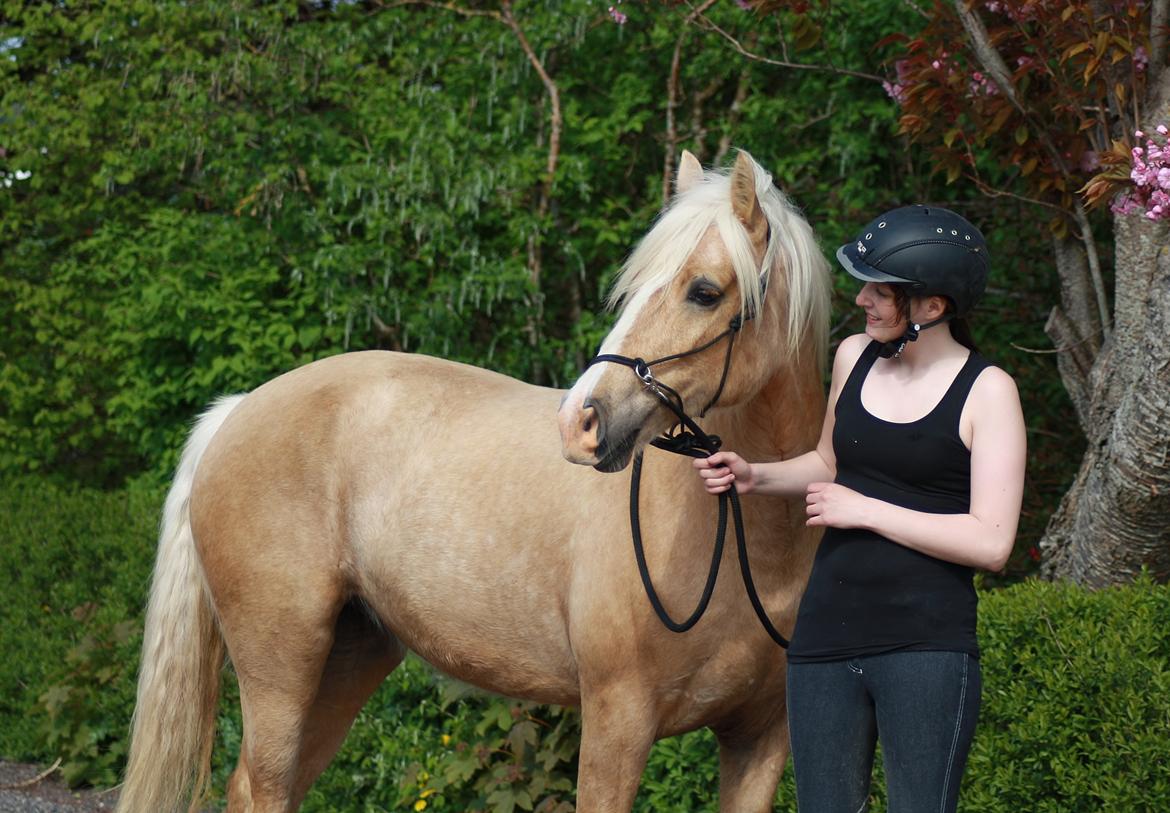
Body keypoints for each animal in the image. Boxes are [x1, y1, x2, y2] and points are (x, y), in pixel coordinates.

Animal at [116, 149, 833, 809]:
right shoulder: (617, 724)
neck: (737, 545)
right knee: (256, 786)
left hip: (349, 657)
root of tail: (237, 410)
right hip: (281, 665)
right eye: (633, 289)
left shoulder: (760, 739)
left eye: (704, 291)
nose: (581, 420)